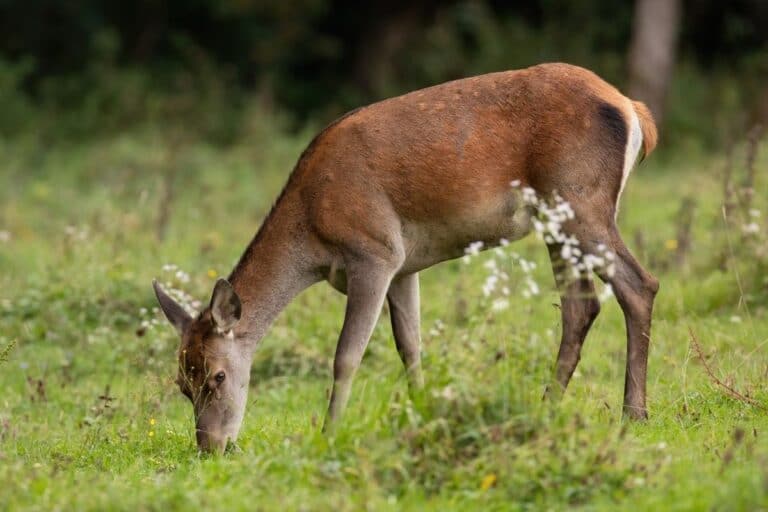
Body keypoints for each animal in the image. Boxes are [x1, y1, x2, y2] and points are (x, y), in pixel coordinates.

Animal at [153, 63, 659, 453]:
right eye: (181, 383)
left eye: (218, 376)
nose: (210, 446)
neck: (313, 236)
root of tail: (634, 111)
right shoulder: (405, 266)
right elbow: (410, 346)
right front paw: (423, 410)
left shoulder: (375, 252)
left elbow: (347, 354)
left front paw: (330, 432)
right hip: (558, 219)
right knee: (581, 304)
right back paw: (549, 403)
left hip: (579, 199)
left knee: (639, 284)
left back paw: (633, 414)